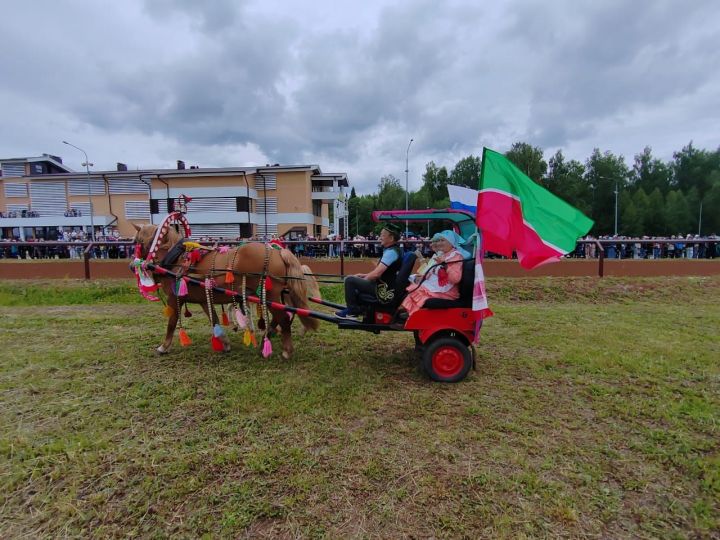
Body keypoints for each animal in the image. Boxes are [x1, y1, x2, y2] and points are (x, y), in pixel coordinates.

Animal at [133, 224, 318, 358]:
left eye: (136, 241)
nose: (132, 265)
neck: (177, 260)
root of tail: (278, 252)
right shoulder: (203, 298)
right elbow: (214, 319)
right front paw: (225, 343)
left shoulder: (174, 297)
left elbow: (171, 323)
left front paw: (163, 347)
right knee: (281, 317)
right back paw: (268, 338)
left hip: (269, 295)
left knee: (284, 318)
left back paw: (286, 350)